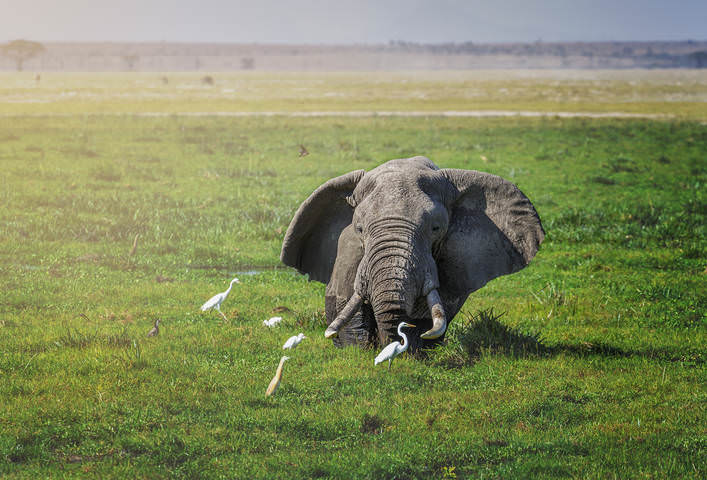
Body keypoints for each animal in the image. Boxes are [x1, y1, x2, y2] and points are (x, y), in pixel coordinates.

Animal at [281, 156, 544, 351]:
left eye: (436, 229)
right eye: (359, 229)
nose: (390, 346)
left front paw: (415, 350)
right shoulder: (347, 249)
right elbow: (345, 299)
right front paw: (358, 352)